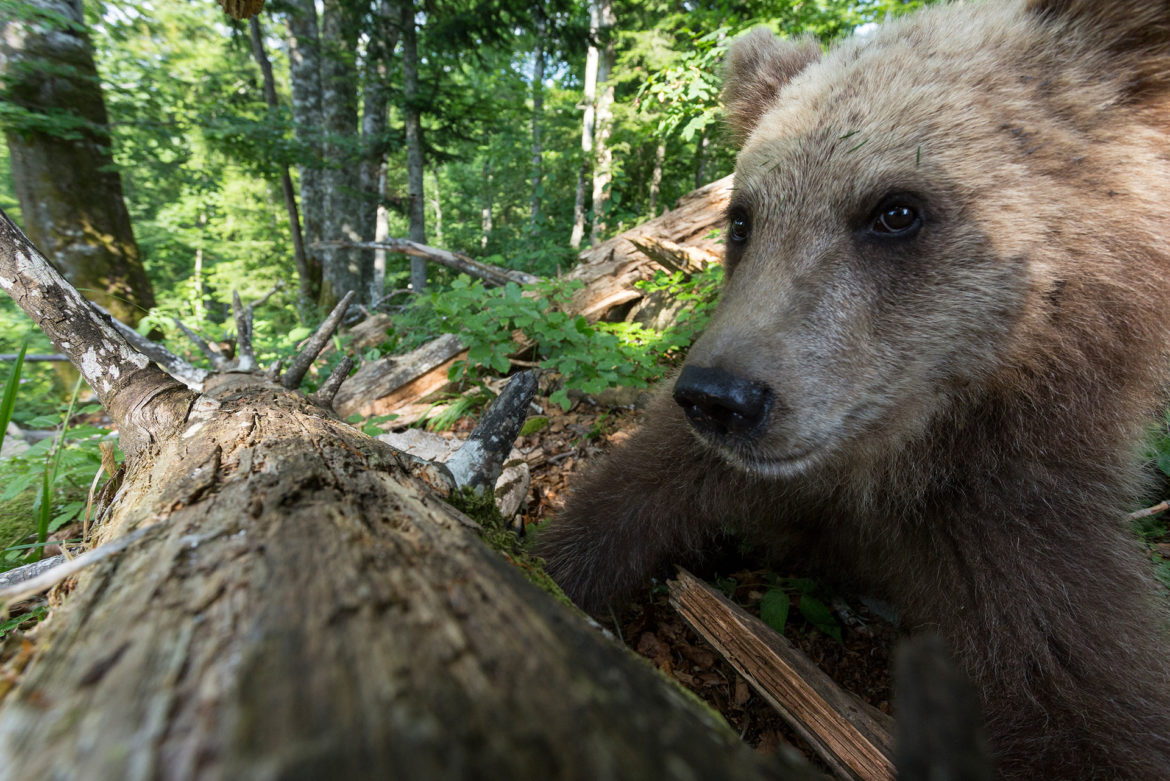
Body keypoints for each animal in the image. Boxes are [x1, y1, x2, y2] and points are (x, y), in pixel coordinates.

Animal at [535, 3, 1170, 776]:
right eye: (743, 220)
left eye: (896, 210)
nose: (721, 397)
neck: (886, 465)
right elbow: (621, 501)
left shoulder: (1013, 514)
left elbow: (1076, 692)